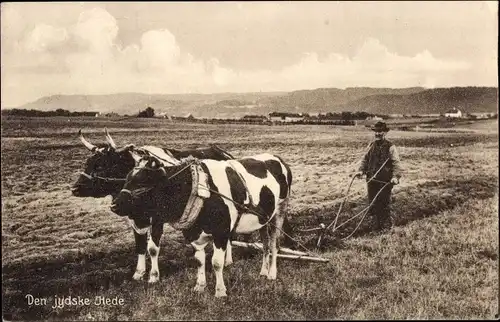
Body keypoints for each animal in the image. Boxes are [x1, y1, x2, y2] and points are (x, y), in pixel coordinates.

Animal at [112, 153, 292, 296]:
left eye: (142, 181)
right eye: (127, 178)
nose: (114, 205)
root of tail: (277, 157)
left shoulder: (221, 231)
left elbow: (216, 262)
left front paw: (220, 291)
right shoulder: (192, 233)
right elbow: (200, 260)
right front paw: (200, 286)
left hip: (280, 210)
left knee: (274, 244)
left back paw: (272, 274)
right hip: (263, 219)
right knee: (266, 245)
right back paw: (263, 272)